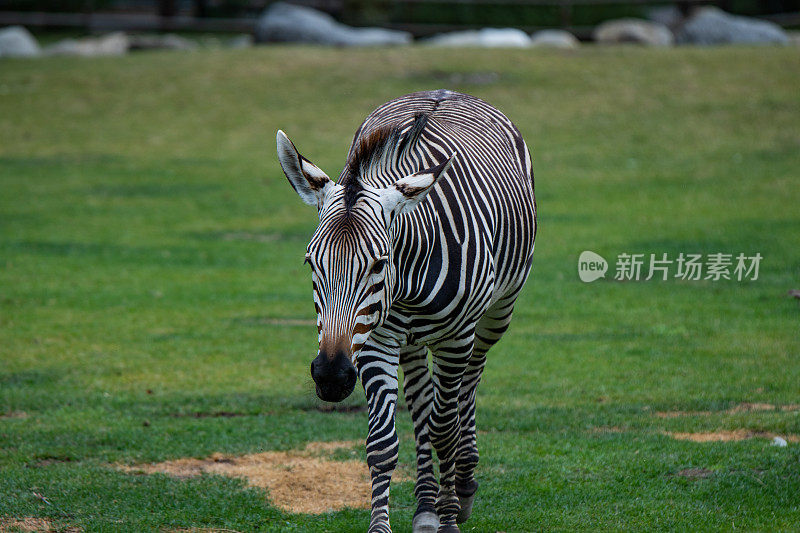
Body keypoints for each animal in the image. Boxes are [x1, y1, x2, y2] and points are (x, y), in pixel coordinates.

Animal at [276, 89, 536, 528]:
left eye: (379, 263)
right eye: (312, 262)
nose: (330, 376)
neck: (407, 279)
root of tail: (447, 91)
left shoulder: (455, 339)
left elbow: (446, 430)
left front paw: (449, 519)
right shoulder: (374, 340)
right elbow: (383, 443)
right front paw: (385, 524)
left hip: (495, 315)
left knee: (468, 387)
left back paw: (462, 487)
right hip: (409, 341)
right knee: (421, 405)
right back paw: (426, 506)